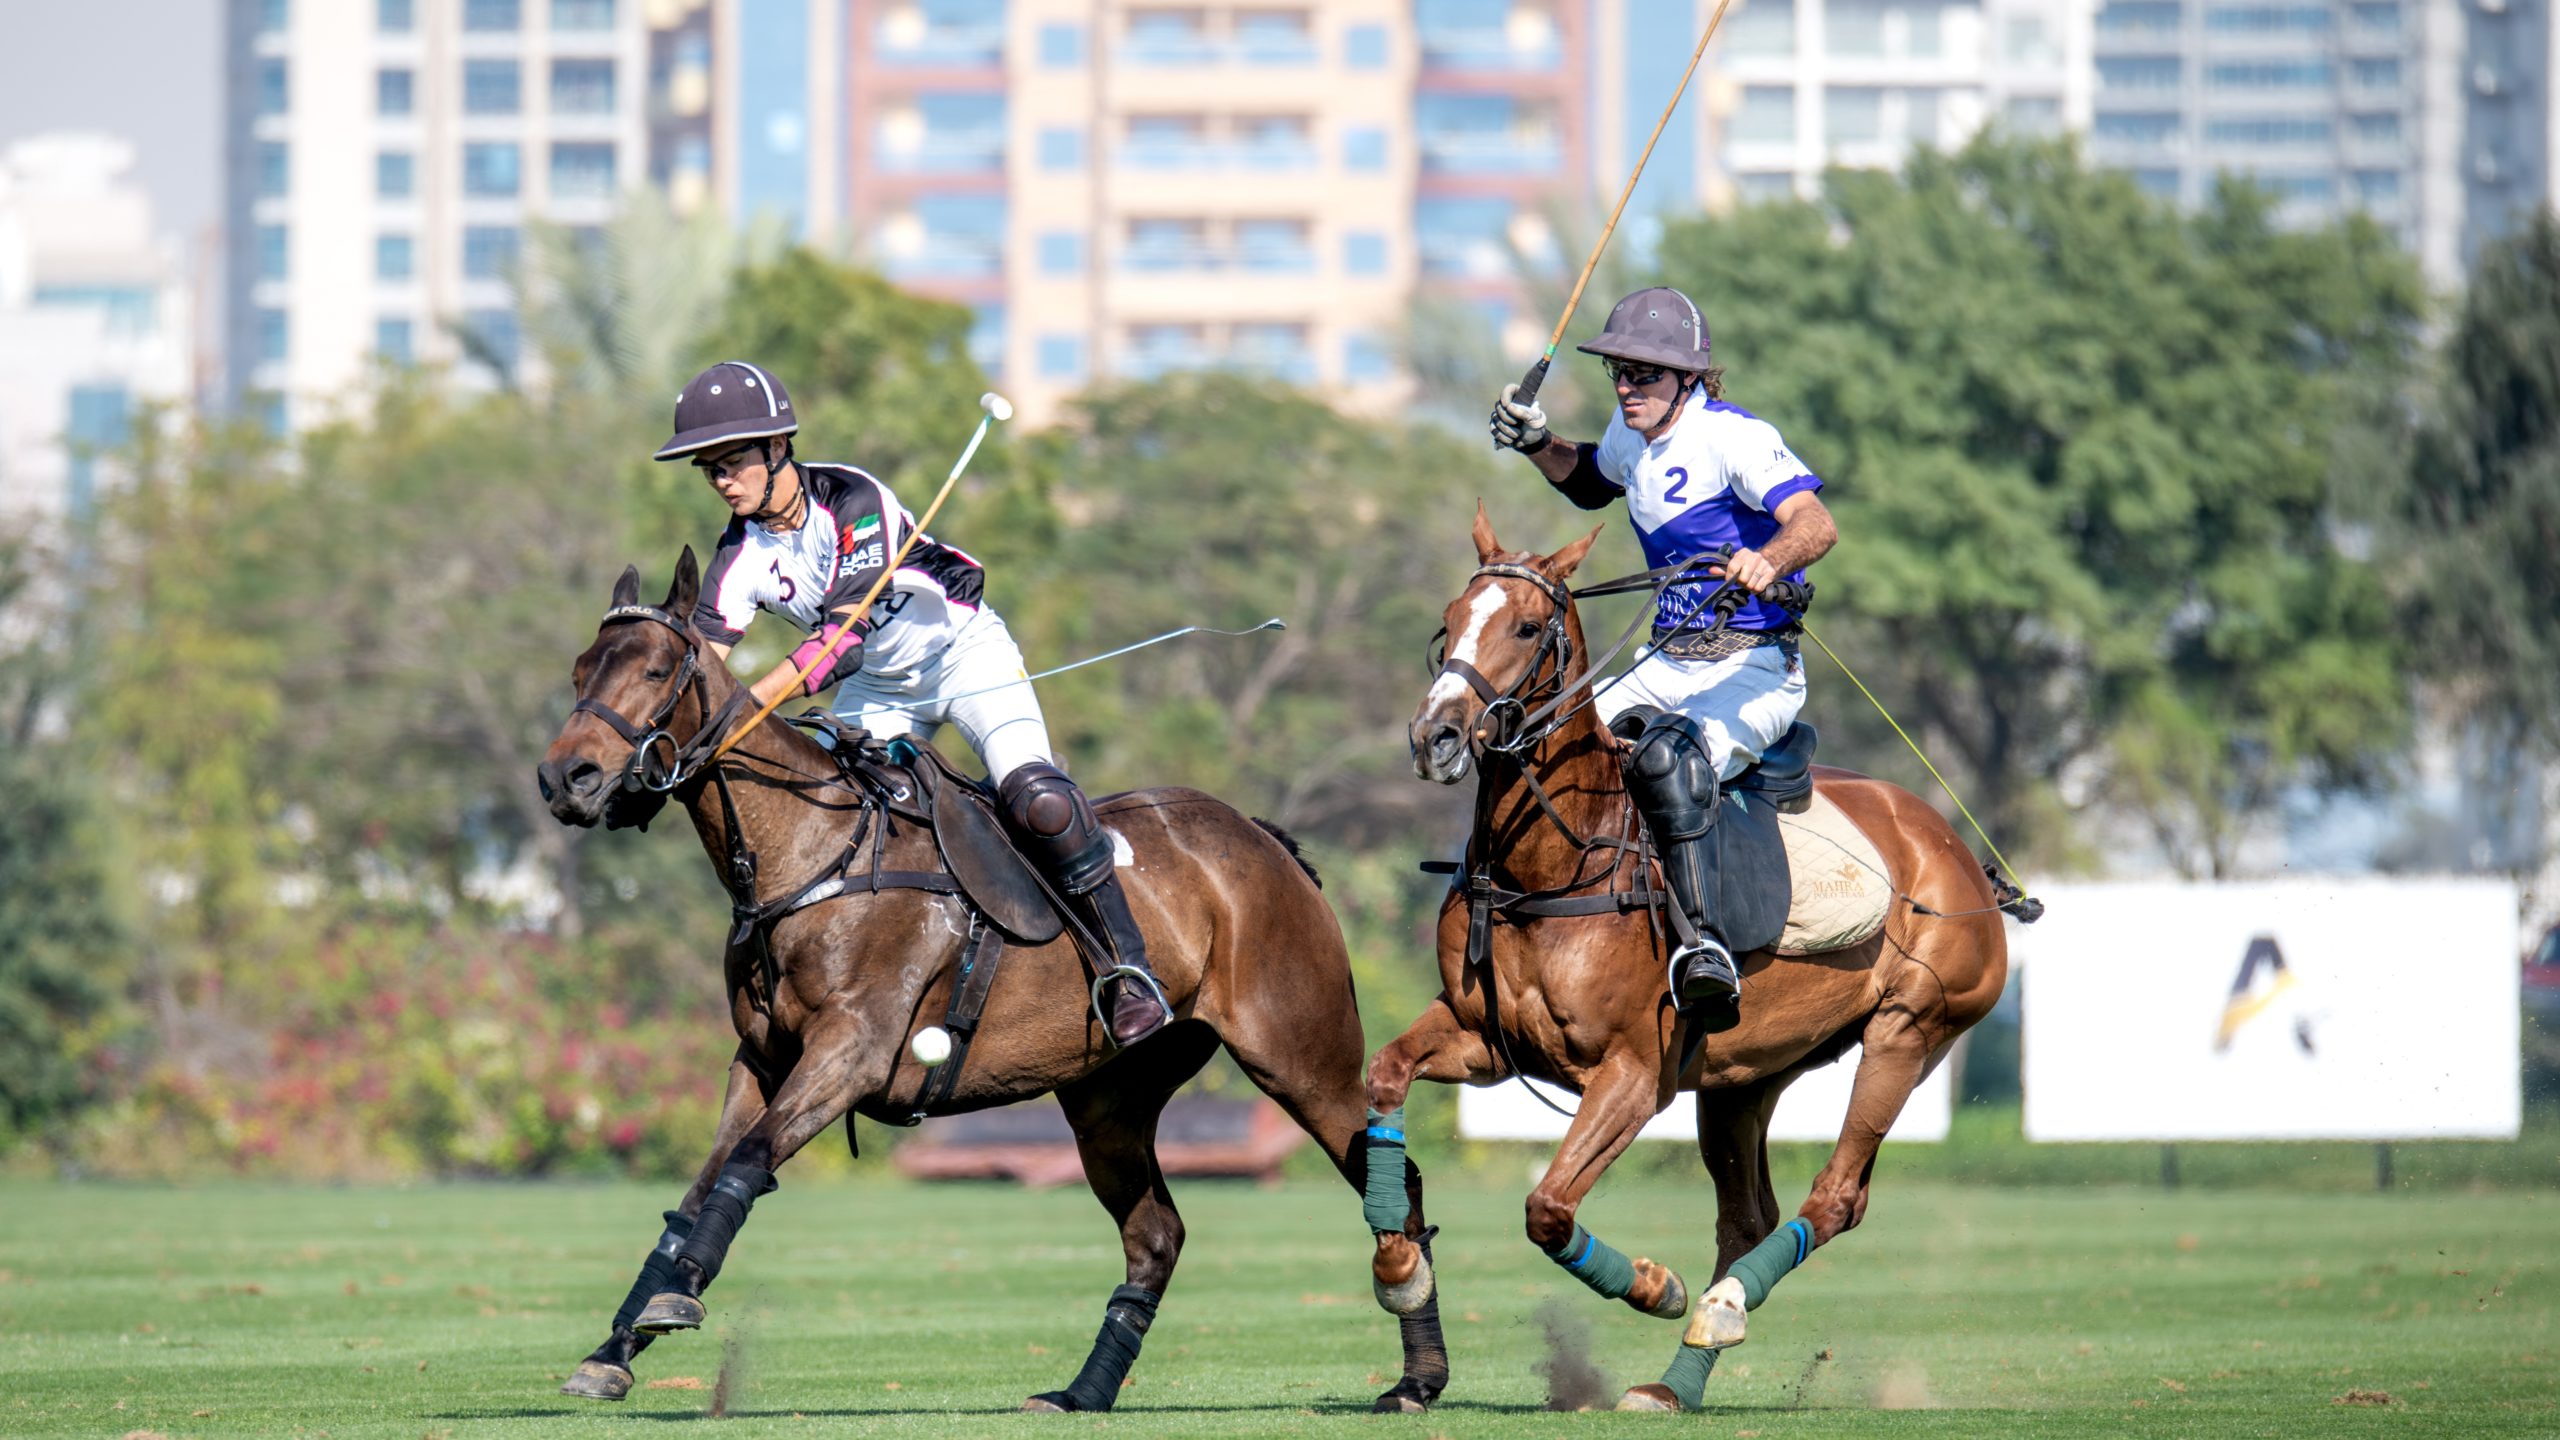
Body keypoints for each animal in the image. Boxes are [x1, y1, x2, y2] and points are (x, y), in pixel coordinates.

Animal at [529, 545, 1454, 1404]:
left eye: (655, 669)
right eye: (578, 669)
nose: (565, 778)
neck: (809, 851)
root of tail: (1270, 842)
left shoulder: (850, 1049)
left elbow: (748, 1161)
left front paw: (666, 1307)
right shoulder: (761, 1059)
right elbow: (698, 1189)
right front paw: (615, 1349)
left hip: (1302, 1057)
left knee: (1395, 1182)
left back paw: (1418, 1375)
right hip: (1109, 1098)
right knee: (1156, 1235)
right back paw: (1083, 1393)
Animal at [1372, 509, 2007, 1404]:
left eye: (1527, 627)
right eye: (1450, 619)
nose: (1436, 736)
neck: (1550, 868)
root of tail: (1956, 847)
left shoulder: (1634, 1075)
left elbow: (1547, 1209)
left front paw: (1654, 1286)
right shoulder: (1483, 1038)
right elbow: (1385, 1073)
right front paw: (1398, 1267)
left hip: (1909, 1031)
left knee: (1835, 1197)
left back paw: (1713, 1310)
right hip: (1744, 1076)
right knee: (1748, 1214)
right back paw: (1679, 1378)